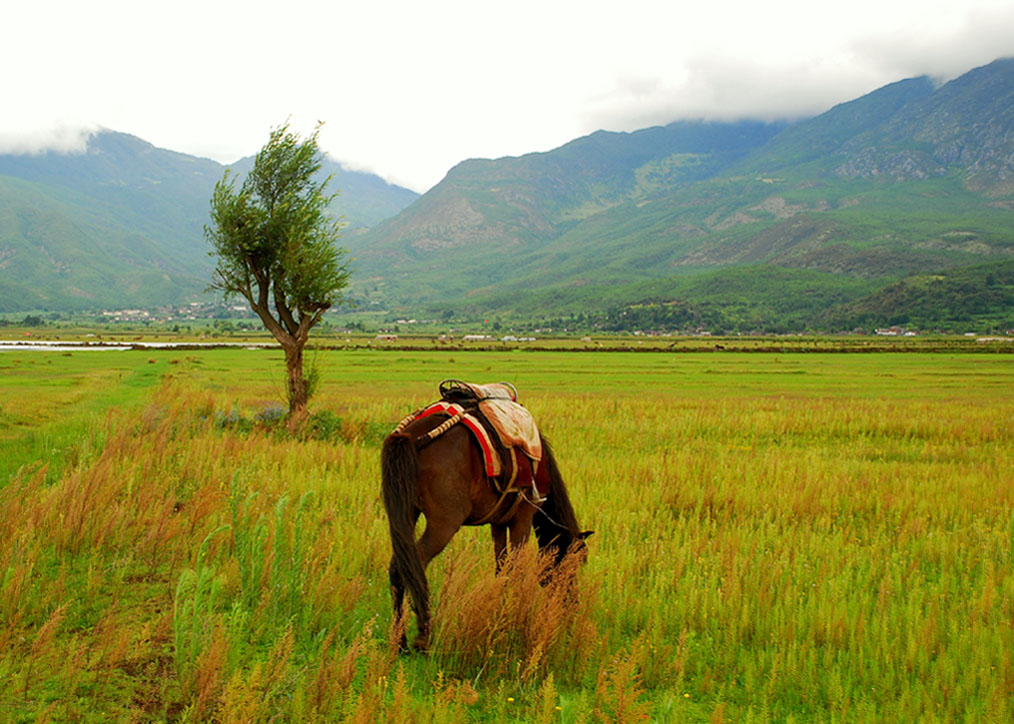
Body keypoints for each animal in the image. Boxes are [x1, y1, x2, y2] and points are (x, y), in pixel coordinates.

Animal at [381, 409, 592, 653]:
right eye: (573, 566)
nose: (572, 606)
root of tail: (412, 437)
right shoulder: (524, 516)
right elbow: (517, 571)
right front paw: (516, 622)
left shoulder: (499, 521)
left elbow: (501, 568)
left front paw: (499, 615)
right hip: (443, 525)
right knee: (414, 566)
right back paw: (423, 636)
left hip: (407, 513)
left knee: (398, 567)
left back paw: (400, 641)